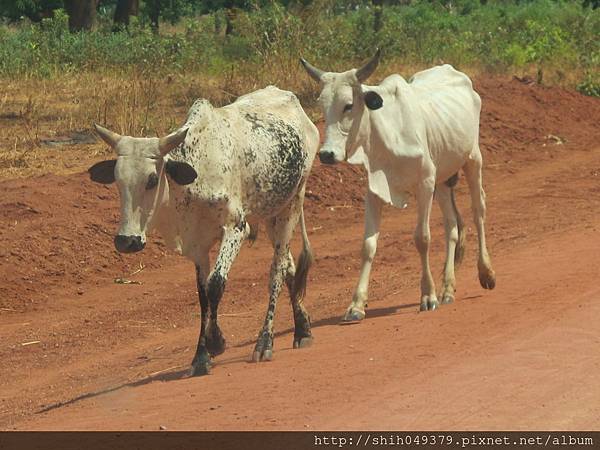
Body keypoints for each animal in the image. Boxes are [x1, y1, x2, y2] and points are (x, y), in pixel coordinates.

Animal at [88, 86, 318, 374]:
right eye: (118, 181)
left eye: (152, 179)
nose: (126, 241)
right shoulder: (197, 244)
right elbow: (202, 295)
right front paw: (201, 355)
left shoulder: (236, 228)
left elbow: (215, 285)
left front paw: (215, 342)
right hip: (270, 213)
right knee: (289, 267)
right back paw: (302, 329)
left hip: (291, 206)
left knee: (276, 271)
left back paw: (265, 342)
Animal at [302, 51, 494, 320]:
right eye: (321, 105)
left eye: (348, 105)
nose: (327, 154)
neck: (386, 135)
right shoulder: (374, 190)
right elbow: (368, 245)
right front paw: (356, 304)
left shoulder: (425, 184)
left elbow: (422, 238)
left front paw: (428, 296)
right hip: (443, 179)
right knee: (452, 227)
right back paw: (447, 289)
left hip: (472, 159)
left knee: (478, 211)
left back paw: (485, 272)